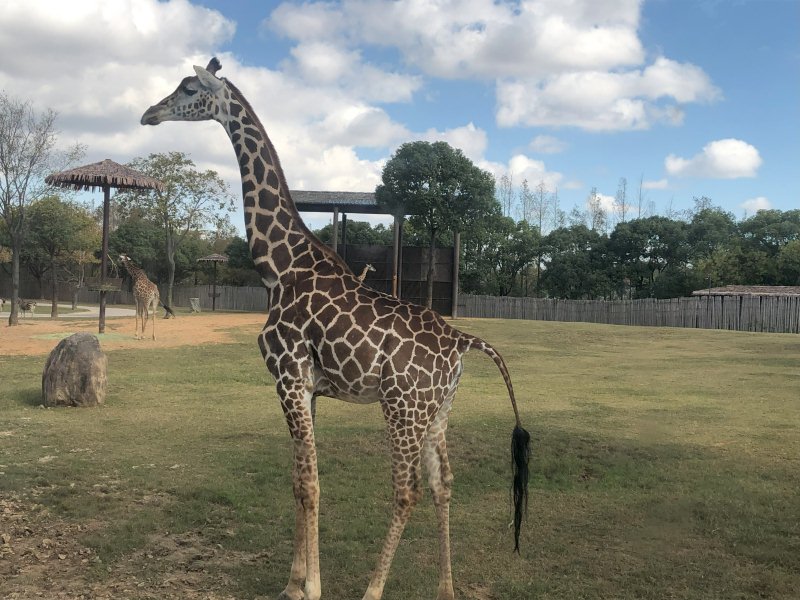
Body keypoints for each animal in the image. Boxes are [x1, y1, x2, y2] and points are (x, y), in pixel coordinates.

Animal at [141, 58, 530, 600]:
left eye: (189, 88)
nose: (148, 114)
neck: (277, 266)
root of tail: (462, 341)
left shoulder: (288, 375)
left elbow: (310, 482)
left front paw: (311, 586)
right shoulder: (307, 388)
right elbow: (298, 479)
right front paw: (293, 582)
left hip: (402, 408)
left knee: (406, 490)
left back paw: (372, 590)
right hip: (438, 410)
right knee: (442, 483)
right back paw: (446, 588)